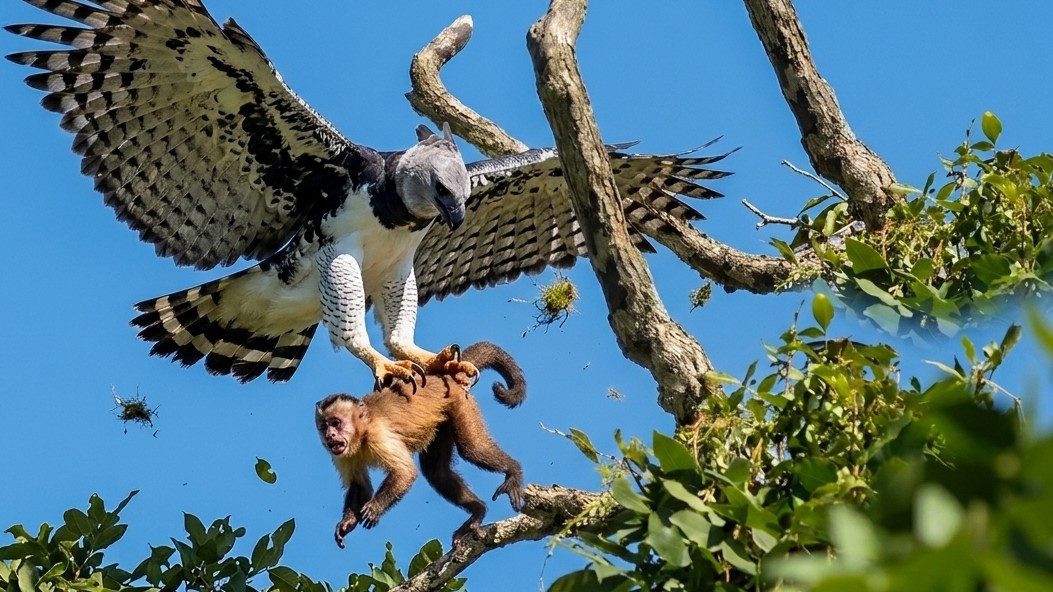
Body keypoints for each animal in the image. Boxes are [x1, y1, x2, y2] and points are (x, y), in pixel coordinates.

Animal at [315, 341, 526, 548]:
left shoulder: (379, 434)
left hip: (459, 402)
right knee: (436, 472)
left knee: (472, 449)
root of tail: (443, 376)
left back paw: (513, 471)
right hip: (440, 419)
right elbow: (360, 486)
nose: (330, 435)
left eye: (336, 423)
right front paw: (347, 523)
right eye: (324, 426)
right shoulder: (341, 454)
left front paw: (376, 507)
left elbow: (405, 472)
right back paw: (477, 511)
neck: (361, 434)